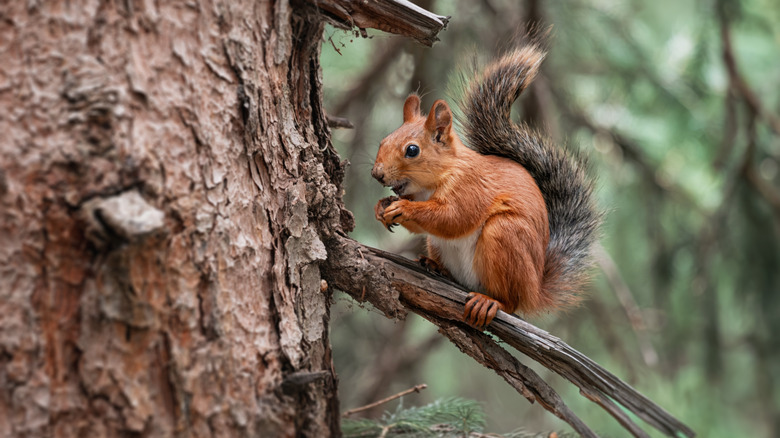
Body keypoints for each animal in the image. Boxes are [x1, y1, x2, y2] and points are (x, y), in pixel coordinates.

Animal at [371, 42, 601, 328]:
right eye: (383, 140)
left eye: (412, 150)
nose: (377, 174)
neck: (433, 182)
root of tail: (535, 289)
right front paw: (381, 207)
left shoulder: (471, 188)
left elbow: (454, 218)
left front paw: (404, 208)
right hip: (439, 245)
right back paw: (435, 267)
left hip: (505, 236)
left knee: (510, 301)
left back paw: (489, 302)